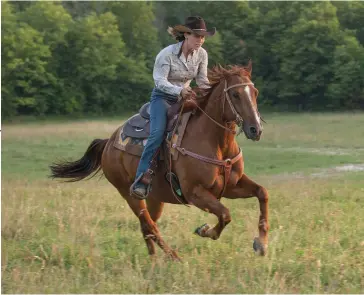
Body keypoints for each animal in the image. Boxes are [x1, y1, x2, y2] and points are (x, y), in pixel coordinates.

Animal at [49, 63, 268, 262]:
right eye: (236, 95)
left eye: (255, 92)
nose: (255, 129)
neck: (215, 142)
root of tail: (109, 143)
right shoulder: (195, 193)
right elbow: (225, 214)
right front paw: (205, 230)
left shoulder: (230, 186)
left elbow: (261, 193)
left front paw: (261, 244)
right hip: (129, 194)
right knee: (149, 225)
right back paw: (174, 257)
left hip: (155, 198)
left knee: (146, 227)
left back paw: (154, 261)